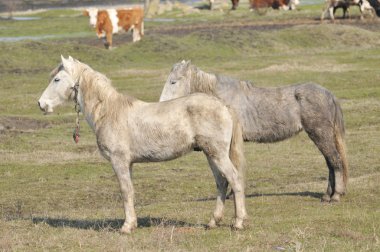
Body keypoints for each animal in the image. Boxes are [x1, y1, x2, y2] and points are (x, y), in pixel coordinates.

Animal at [37, 56, 246, 233]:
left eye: (56, 79)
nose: (41, 104)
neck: (109, 112)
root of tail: (224, 105)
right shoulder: (128, 164)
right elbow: (130, 191)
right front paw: (132, 223)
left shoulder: (119, 161)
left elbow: (125, 191)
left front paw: (126, 227)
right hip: (211, 155)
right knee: (221, 182)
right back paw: (213, 222)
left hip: (217, 154)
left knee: (235, 179)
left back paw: (238, 222)